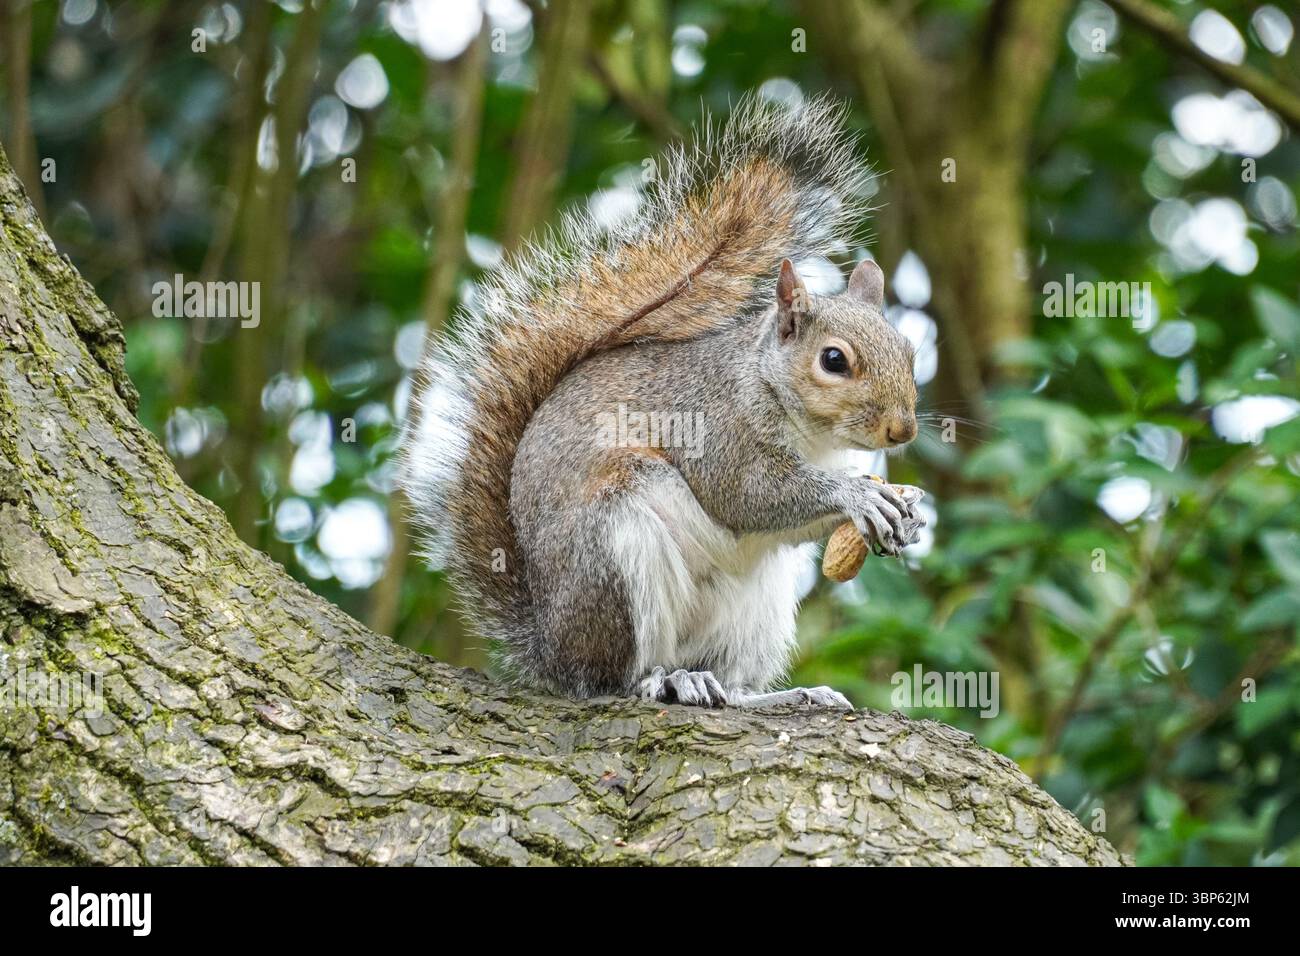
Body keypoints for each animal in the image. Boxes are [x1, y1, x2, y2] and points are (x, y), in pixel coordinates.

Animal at [400, 94, 924, 709]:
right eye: (834, 360)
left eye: (909, 351)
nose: (902, 431)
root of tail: (549, 647)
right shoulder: (715, 427)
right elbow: (748, 496)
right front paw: (857, 495)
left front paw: (909, 509)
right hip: (615, 548)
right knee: (612, 677)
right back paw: (663, 680)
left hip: (757, 609)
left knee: (732, 686)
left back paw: (776, 694)